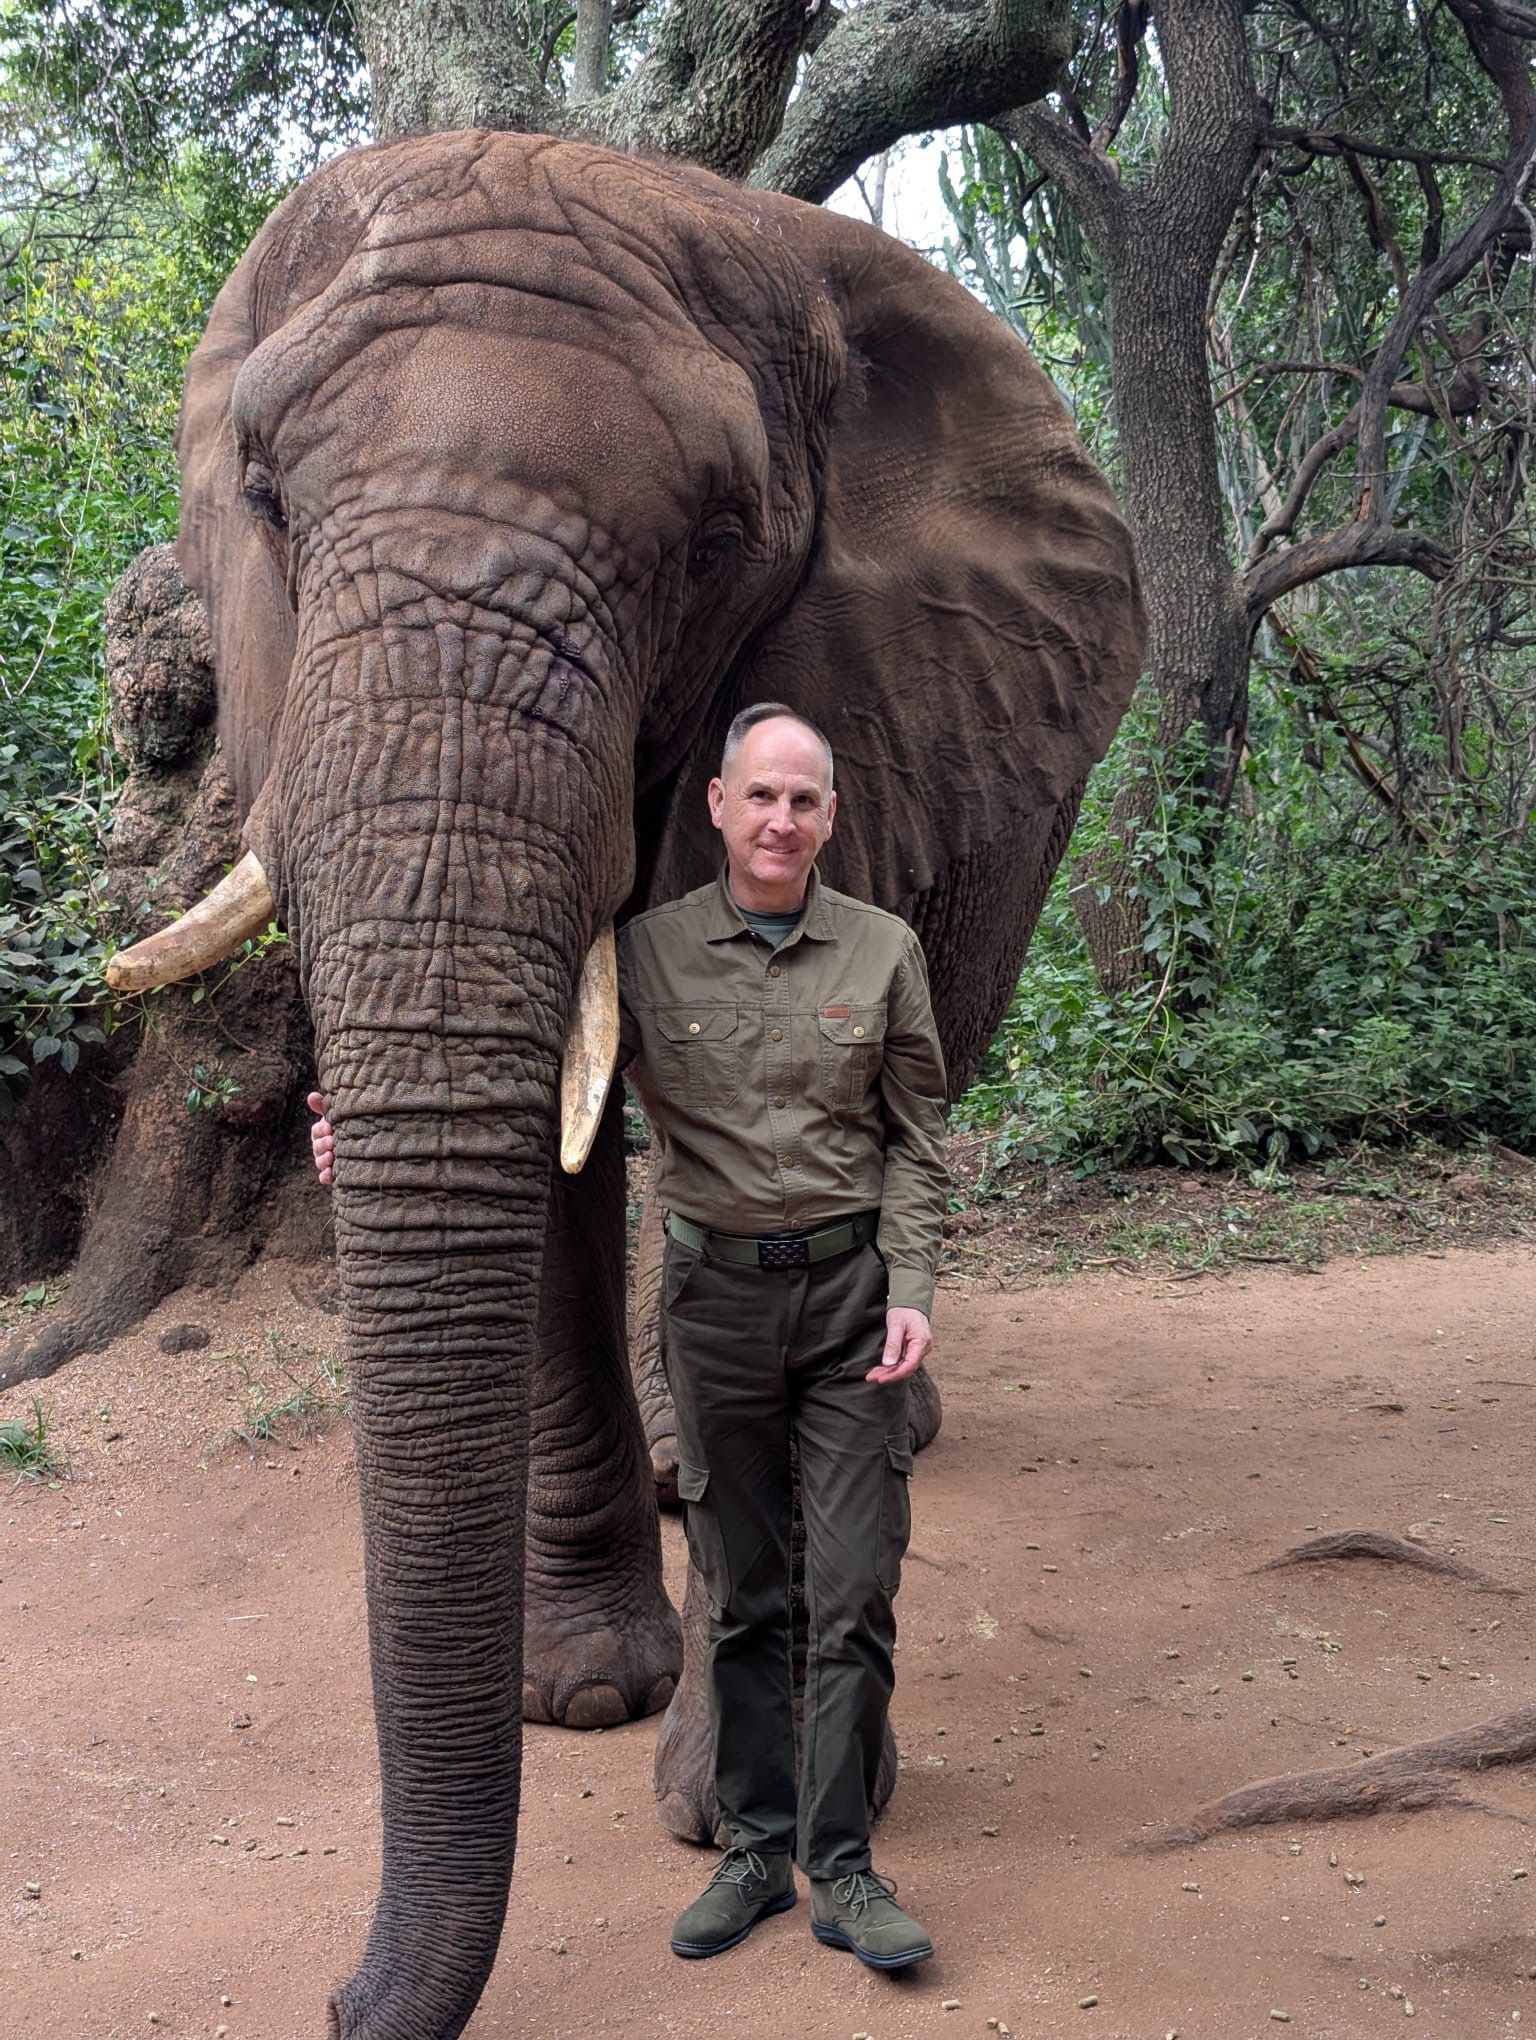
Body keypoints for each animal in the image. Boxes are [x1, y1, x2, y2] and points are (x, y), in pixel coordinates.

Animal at [105, 129, 1144, 2040]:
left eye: (719, 544)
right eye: (267, 501)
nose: (339, 2009)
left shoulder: (873, 682)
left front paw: (738, 1805)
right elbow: (555, 1163)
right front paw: (581, 1689)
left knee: (934, 1081)